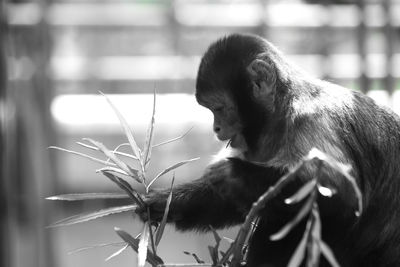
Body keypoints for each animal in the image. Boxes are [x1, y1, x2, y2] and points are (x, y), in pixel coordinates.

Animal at [137, 34, 400, 267]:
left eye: (220, 108)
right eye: (212, 110)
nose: (216, 128)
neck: (282, 110)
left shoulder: (311, 121)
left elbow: (344, 197)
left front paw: (232, 174)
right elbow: (229, 200)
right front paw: (158, 203)